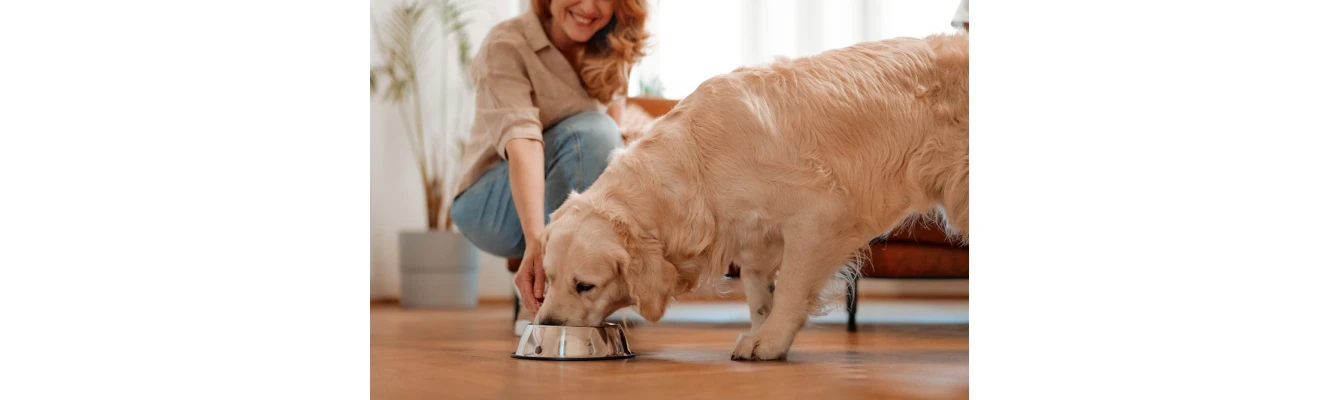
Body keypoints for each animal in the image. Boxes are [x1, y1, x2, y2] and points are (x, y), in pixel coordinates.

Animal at [530, 32, 964, 361]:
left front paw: (770, 341)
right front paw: (762, 328)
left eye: (585, 286)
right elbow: (758, 291)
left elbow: (789, 286)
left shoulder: (818, 216)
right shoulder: (753, 234)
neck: (698, 164)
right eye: (548, 278)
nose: (545, 327)